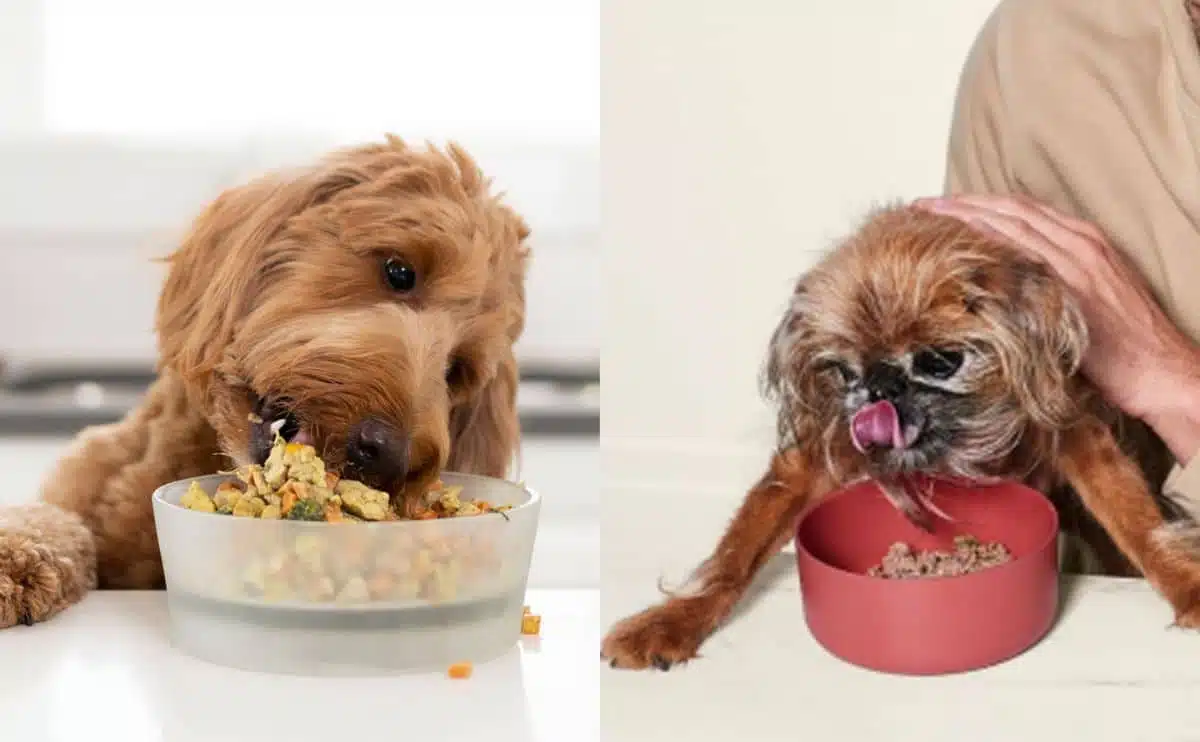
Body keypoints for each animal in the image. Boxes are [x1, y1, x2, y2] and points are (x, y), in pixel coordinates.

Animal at [604, 204, 1200, 672]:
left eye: (941, 362)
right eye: (843, 371)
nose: (879, 385)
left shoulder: (1075, 431)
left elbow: (1138, 522)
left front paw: (1184, 583)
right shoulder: (807, 465)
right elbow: (734, 556)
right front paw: (672, 619)